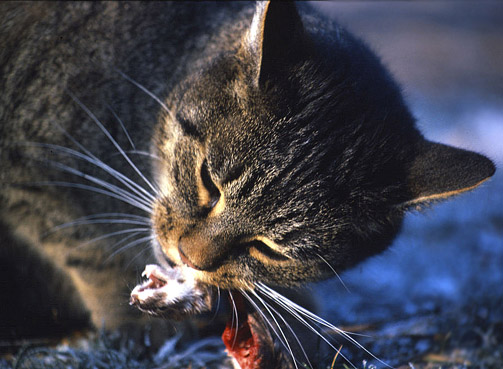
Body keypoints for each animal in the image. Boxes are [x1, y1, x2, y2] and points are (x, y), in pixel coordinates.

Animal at [0, 0, 496, 366]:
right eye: (209, 180)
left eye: (271, 249)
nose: (188, 256)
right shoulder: (32, 159)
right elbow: (84, 240)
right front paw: (135, 321)